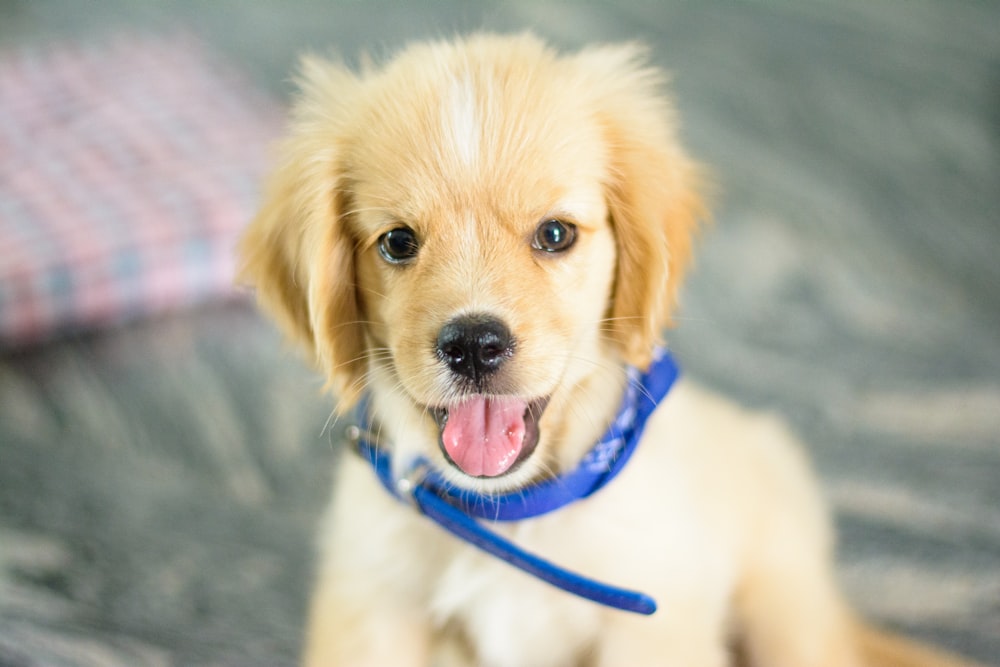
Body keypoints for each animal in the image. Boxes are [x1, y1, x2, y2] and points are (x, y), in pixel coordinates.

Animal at [238, 31, 980, 667]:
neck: (510, 520)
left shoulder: (655, 624)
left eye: (555, 234)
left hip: (784, 596)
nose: (473, 345)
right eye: (397, 242)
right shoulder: (371, 608)